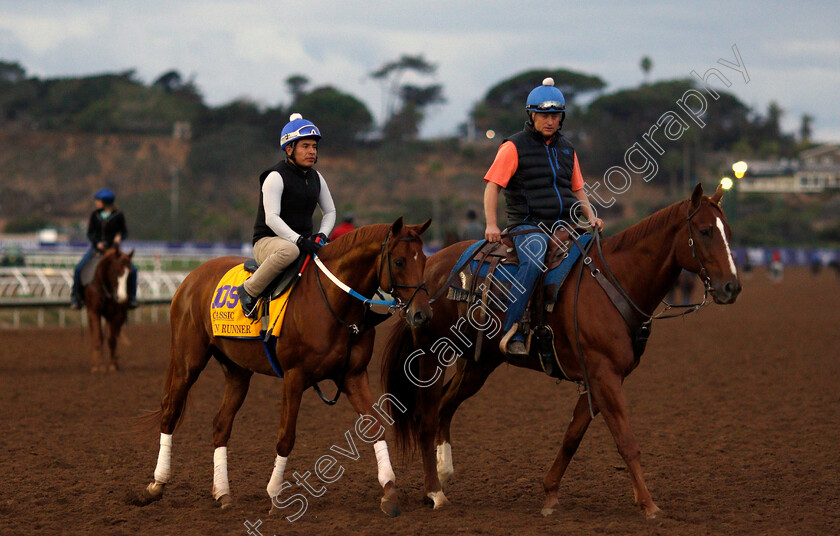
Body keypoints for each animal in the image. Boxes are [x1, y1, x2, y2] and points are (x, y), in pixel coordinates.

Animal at [143, 218, 434, 516]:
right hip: (187, 360)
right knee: (170, 412)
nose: (422, 314)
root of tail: (191, 277)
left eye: (423, 259)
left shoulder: (353, 375)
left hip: (237, 371)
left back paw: (223, 493)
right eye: (398, 261)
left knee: (221, 424)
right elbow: (286, 436)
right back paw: (157, 484)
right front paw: (275, 494)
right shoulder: (295, 377)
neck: (333, 302)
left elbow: (375, 426)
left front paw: (389, 490)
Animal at [380, 183, 740, 516]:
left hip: (478, 364)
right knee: (427, 417)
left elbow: (571, 438)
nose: (731, 287)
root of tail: (429, 268)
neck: (613, 282)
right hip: (431, 355)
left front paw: (550, 494)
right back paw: (435, 492)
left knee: (445, 407)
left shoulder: (594, 379)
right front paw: (648, 505)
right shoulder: (605, 376)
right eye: (705, 231)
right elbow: (626, 441)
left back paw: (443, 473)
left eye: (728, 231)